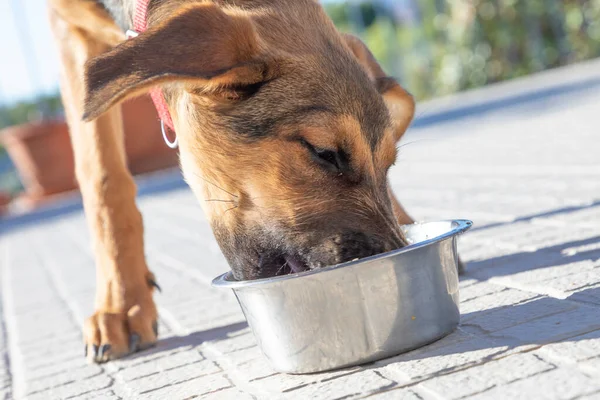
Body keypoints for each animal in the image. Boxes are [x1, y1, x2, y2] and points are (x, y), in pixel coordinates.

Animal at [48, 0, 422, 362]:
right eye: (324, 152)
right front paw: (120, 305)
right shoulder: (68, 28)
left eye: (388, 164)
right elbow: (102, 180)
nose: (395, 255)